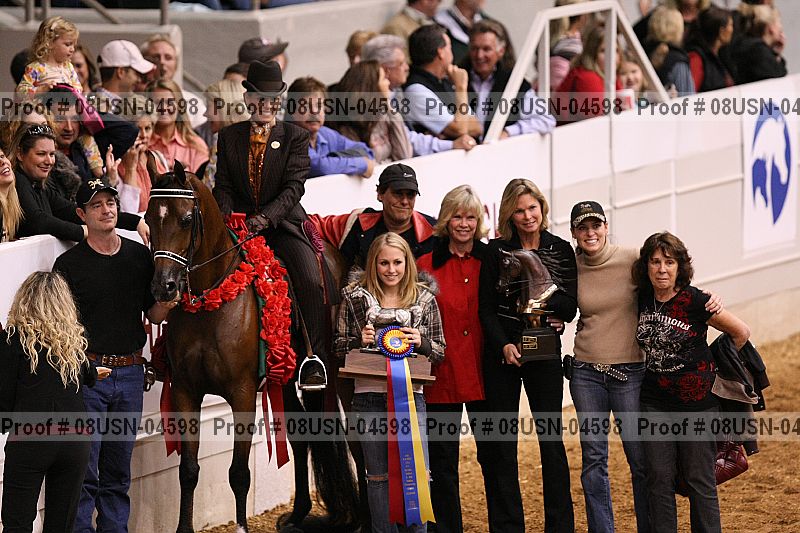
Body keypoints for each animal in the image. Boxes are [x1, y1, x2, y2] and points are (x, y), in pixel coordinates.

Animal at [144, 157, 358, 533]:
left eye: (186, 219)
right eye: (148, 218)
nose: (163, 287)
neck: (211, 301)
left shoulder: (242, 394)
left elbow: (239, 473)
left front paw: (242, 526)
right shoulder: (185, 391)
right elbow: (188, 470)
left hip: (336, 375)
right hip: (283, 376)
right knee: (302, 435)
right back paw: (298, 514)